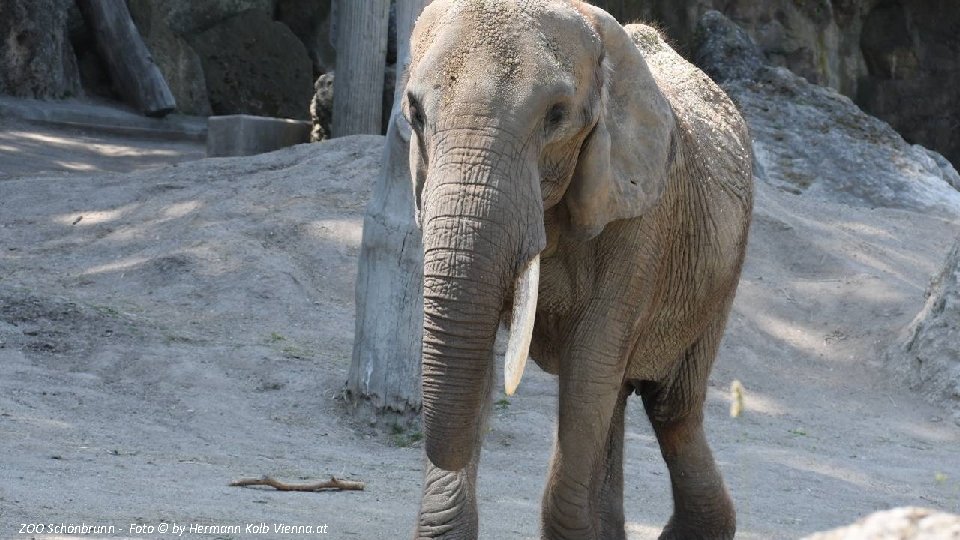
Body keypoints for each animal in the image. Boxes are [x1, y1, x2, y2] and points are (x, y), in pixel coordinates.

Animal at [402, 2, 752, 536]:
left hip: (719, 279)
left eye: (556, 116)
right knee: (623, 399)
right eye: (415, 112)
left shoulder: (643, 220)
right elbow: (475, 352)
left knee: (670, 407)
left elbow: (589, 362)